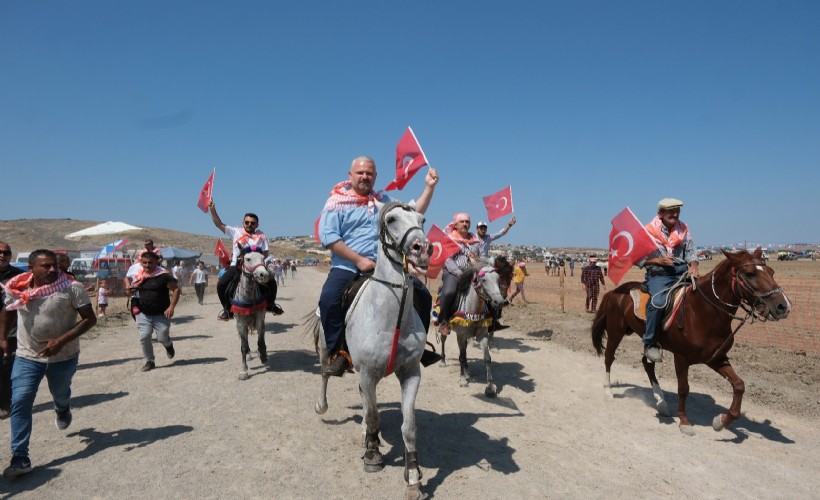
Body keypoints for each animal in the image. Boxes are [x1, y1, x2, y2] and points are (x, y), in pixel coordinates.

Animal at [231, 245, 272, 378]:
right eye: (248, 259)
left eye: (263, 258)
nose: (264, 275)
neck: (248, 297)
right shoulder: (240, 322)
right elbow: (243, 346)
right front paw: (244, 370)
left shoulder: (260, 318)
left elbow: (261, 340)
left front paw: (263, 356)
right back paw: (248, 355)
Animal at [310, 201, 432, 498]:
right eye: (391, 219)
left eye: (422, 219)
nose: (423, 249)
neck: (390, 317)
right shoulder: (367, 373)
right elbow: (375, 415)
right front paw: (373, 455)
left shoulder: (410, 373)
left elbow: (408, 426)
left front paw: (413, 478)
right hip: (325, 350)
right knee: (324, 375)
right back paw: (322, 406)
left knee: (365, 402)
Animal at [438, 264, 502, 396]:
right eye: (484, 280)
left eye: (498, 279)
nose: (499, 301)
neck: (473, 308)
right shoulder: (460, 335)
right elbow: (461, 357)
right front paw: (463, 380)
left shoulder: (482, 335)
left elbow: (487, 358)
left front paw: (490, 387)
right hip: (445, 329)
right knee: (443, 340)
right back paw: (443, 361)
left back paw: (467, 371)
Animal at [592, 249, 792, 434]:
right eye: (750, 273)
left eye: (771, 271)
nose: (784, 306)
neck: (703, 312)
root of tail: (615, 291)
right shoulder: (681, 358)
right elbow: (683, 389)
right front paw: (684, 421)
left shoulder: (716, 358)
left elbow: (739, 385)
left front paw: (721, 421)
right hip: (616, 332)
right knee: (609, 358)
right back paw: (608, 392)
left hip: (649, 343)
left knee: (647, 364)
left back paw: (662, 403)